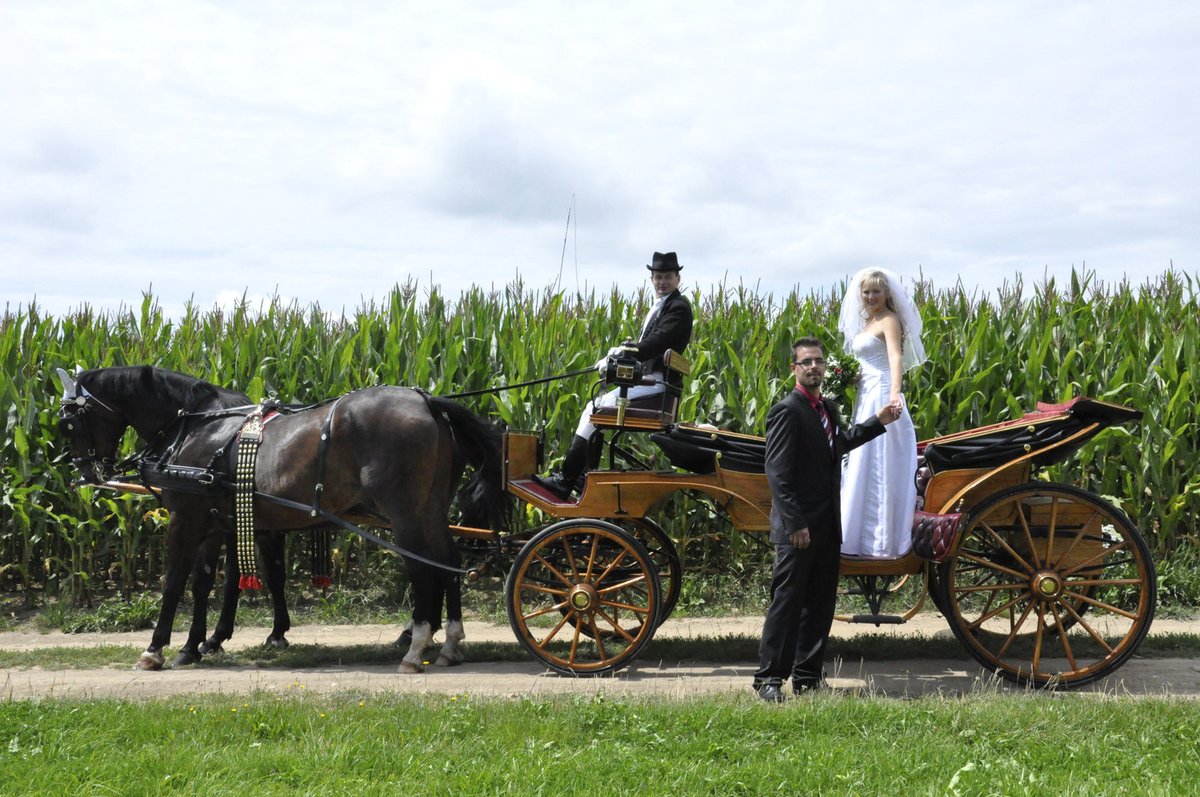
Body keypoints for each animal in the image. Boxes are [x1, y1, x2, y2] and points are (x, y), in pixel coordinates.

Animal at [54, 367, 504, 672]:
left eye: (68, 422)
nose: (84, 470)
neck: (197, 427)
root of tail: (426, 400)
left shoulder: (187, 519)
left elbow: (176, 582)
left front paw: (156, 649)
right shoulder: (216, 523)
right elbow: (206, 583)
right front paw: (195, 645)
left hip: (405, 512)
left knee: (422, 568)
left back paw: (416, 646)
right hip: (430, 508)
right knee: (447, 561)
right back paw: (450, 643)